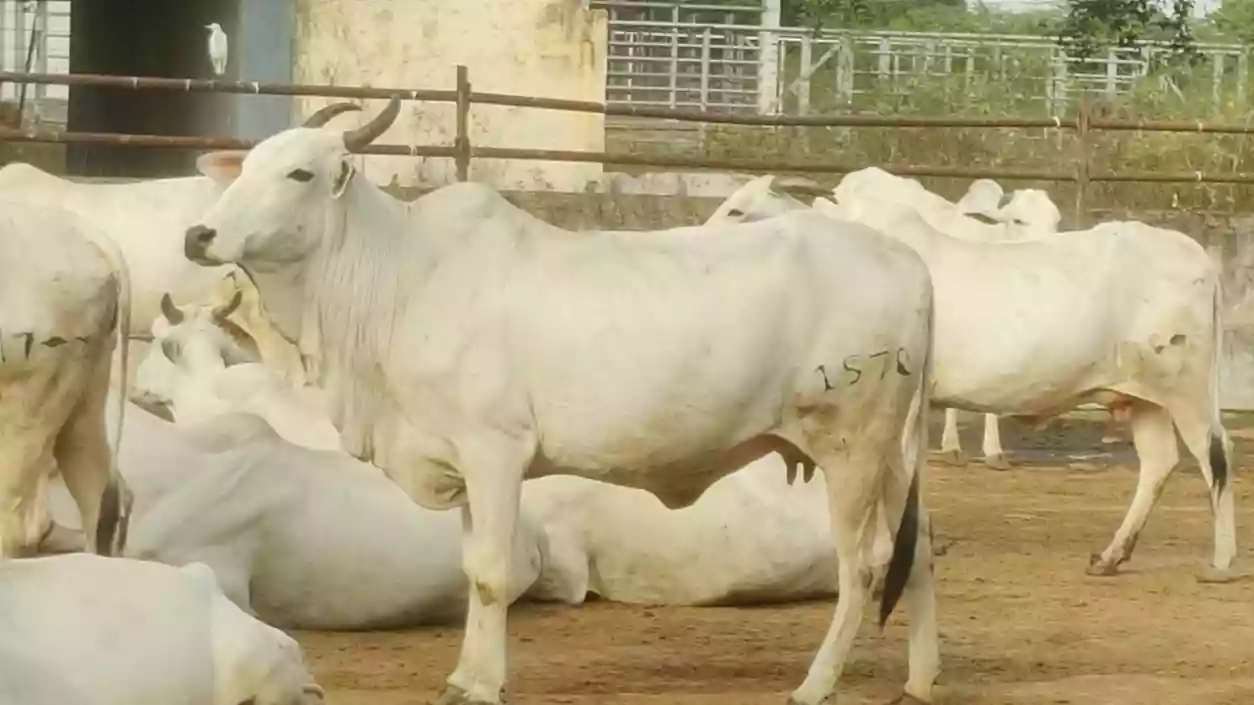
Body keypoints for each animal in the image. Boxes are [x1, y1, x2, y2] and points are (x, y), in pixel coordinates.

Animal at [181, 97, 941, 705]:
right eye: (244, 169)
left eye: (300, 174)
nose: (199, 235)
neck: (394, 277)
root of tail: (909, 261)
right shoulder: (462, 465)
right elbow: (472, 569)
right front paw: (465, 675)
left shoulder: (494, 452)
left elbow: (490, 575)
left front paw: (482, 685)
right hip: (892, 455)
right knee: (920, 548)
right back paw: (922, 678)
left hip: (852, 446)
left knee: (864, 564)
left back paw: (817, 682)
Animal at [710, 175, 1236, 582]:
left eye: (737, 209)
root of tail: (1199, 259)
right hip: (1142, 397)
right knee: (1159, 463)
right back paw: (1110, 557)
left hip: (1186, 389)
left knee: (1215, 455)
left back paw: (1221, 561)